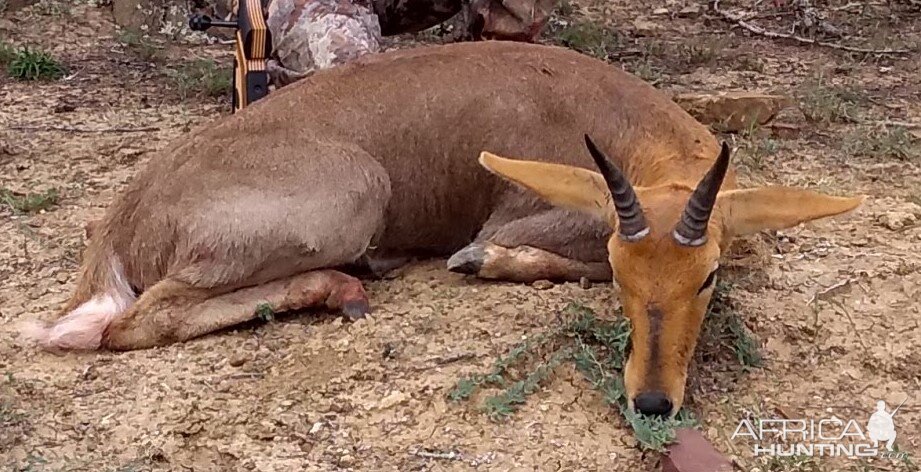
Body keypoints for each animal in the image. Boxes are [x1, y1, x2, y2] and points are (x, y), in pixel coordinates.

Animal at [19, 40, 856, 416]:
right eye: (624, 272)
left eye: (704, 276)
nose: (652, 402)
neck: (608, 110)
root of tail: (124, 215)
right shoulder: (523, 210)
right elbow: (521, 247)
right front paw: (482, 261)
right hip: (353, 196)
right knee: (133, 322)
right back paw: (344, 287)